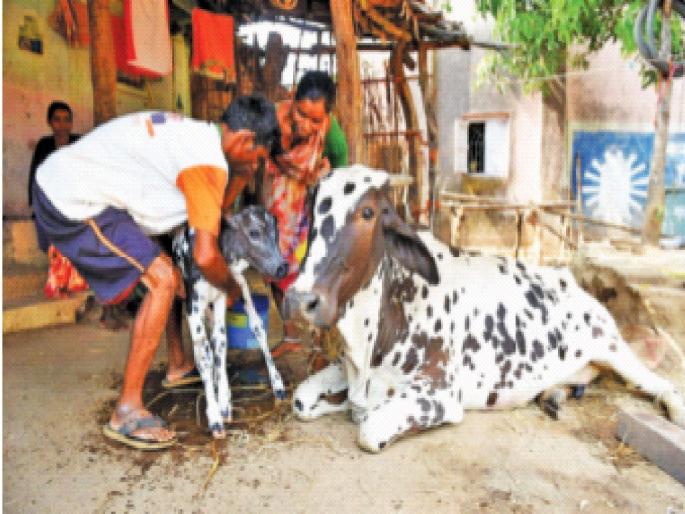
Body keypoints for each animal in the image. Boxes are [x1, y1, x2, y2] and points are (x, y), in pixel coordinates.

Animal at [173, 205, 288, 438]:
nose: (282, 267)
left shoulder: (223, 295)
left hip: (239, 286)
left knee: (253, 328)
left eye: (277, 232)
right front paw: (215, 416)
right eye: (254, 233)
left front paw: (224, 401)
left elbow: (221, 342)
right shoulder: (193, 304)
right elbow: (204, 353)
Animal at [283, 165, 685, 452]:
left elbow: (369, 428)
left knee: (661, 384)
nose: (301, 300)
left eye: (368, 212)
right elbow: (301, 400)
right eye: (312, 209)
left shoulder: (441, 394)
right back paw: (553, 396)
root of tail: (570, 280)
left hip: (613, 347)